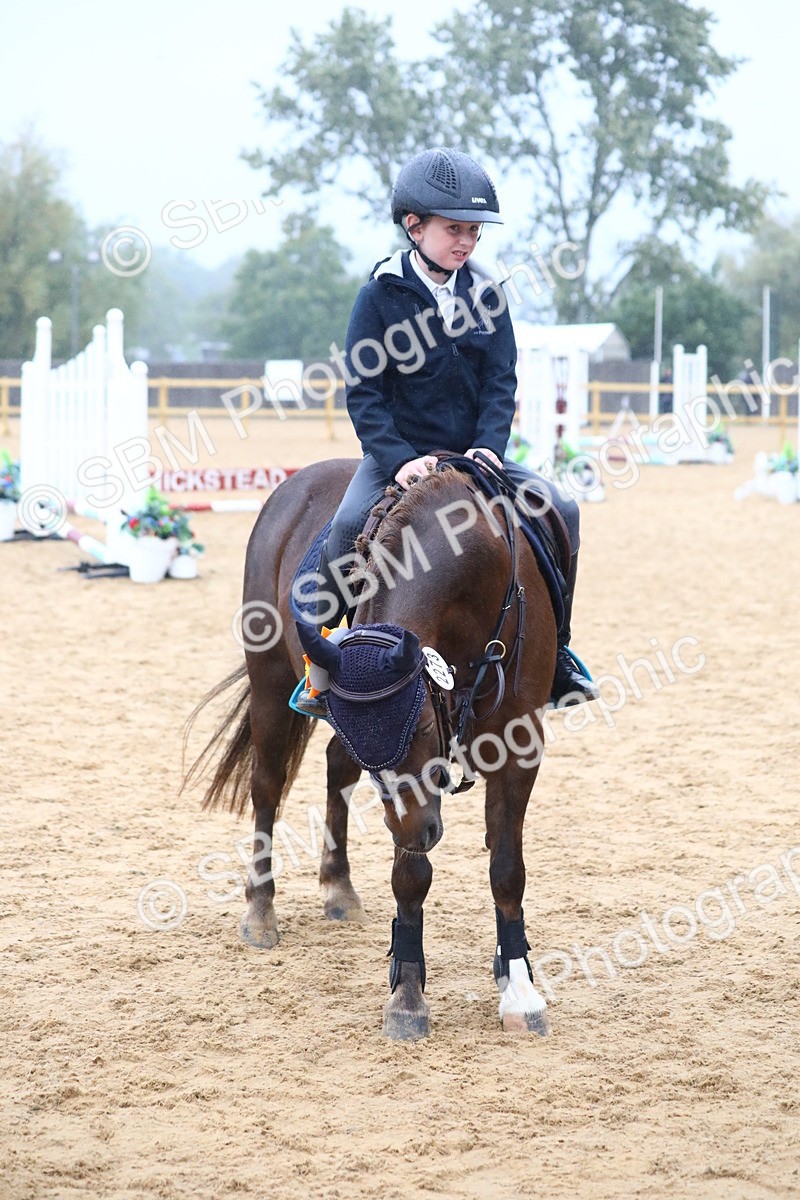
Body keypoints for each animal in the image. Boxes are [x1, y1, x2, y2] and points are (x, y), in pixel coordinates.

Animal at [185, 456, 559, 1040]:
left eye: (424, 726)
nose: (421, 833)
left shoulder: (520, 742)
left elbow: (506, 868)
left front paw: (519, 987)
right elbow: (411, 877)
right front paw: (407, 995)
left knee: (334, 772)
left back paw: (338, 887)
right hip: (268, 678)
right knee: (267, 787)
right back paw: (260, 910)